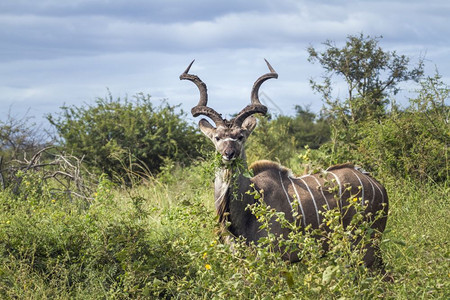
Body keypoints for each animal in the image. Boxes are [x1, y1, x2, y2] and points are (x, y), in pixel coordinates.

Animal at [179, 59, 386, 268]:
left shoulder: (275, 258)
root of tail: (377, 184)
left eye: (240, 136)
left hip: (366, 247)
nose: (229, 154)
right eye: (217, 137)